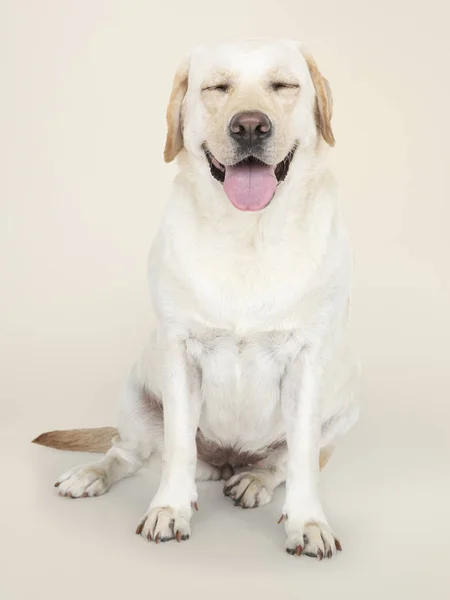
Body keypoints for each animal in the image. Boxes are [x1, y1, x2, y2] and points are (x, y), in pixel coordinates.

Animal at [33, 39, 360, 560]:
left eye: (284, 85)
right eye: (217, 87)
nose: (250, 126)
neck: (248, 234)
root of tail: (226, 460)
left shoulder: (308, 361)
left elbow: (302, 460)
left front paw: (308, 523)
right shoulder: (179, 353)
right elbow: (178, 449)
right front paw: (169, 510)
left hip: (345, 405)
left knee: (281, 462)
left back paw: (252, 480)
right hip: (137, 395)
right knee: (127, 452)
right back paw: (91, 475)